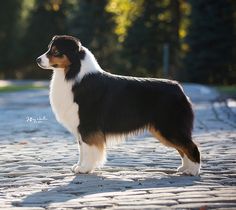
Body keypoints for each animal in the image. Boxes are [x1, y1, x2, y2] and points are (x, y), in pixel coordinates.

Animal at [37, 34, 201, 176]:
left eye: (56, 51)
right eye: (49, 48)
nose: (38, 60)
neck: (73, 73)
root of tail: (179, 88)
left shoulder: (88, 125)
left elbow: (88, 148)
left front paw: (85, 168)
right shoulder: (81, 127)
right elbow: (82, 148)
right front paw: (79, 166)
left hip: (170, 127)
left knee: (191, 146)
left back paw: (192, 171)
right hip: (165, 130)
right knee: (183, 148)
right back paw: (184, 168)